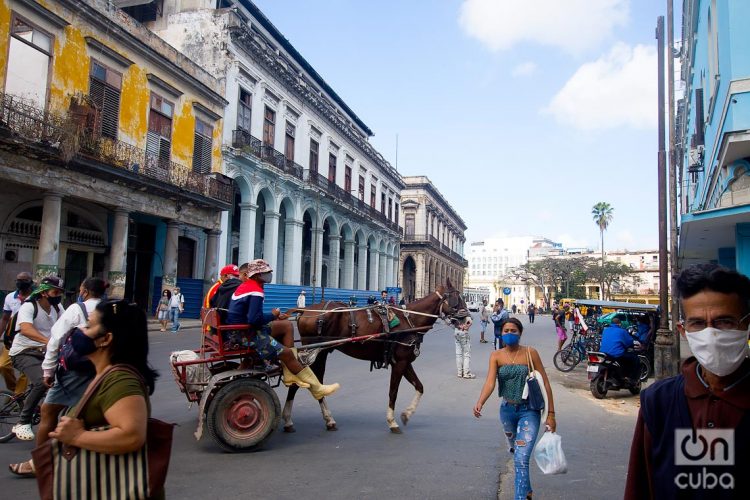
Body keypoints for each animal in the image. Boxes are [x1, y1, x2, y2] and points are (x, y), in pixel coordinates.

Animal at [280, 280, 468, 436]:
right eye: (457, 298)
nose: (468, 320)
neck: (410, 319)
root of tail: (306, 310)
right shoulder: (400, 363)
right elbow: (393, 392)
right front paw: (392, 422)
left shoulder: (404, 362)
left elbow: (420, 387)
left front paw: (407, 414)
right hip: (313, 351)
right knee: (302, 381)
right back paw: (289, 419)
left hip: (321, 352)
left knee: (313, 381)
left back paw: (327, 420)